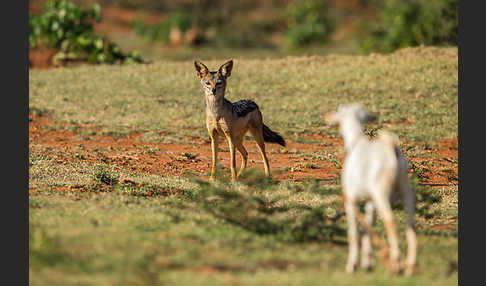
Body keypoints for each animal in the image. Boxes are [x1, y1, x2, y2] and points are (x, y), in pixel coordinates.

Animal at [324, 103, 416, 274]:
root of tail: (391, 149)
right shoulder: (369, 201)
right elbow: (368, 225)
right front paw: (368, 263)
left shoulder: (350, 199)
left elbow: (353, 231)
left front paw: (352, 265)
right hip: (406, 192)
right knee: (410, 224)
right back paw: (409, 266)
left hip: (381, 193)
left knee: (390, 220)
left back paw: (396, 263)